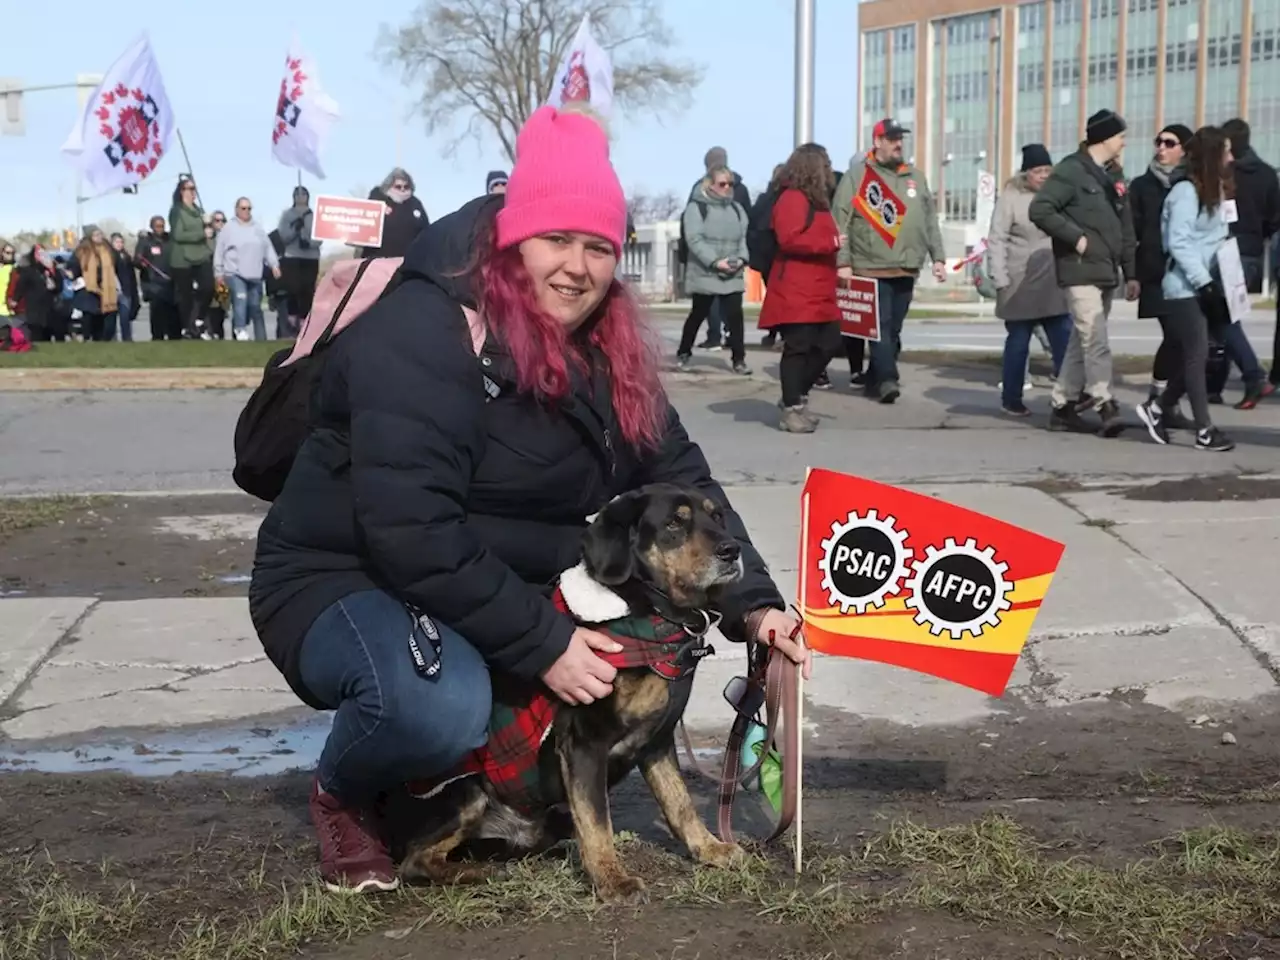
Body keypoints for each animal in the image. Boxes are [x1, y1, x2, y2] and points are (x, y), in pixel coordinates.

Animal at [394, 483, 747, 906]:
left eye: (718, 516)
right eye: (675, 523)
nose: (732, 550)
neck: (652, 617)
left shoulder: (658, 742)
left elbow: (680, 803)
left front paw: (710, 848)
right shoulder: (585, 742)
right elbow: (597, 820)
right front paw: (612, 880)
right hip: (467, 792)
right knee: (415, 859)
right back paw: (474, 873)